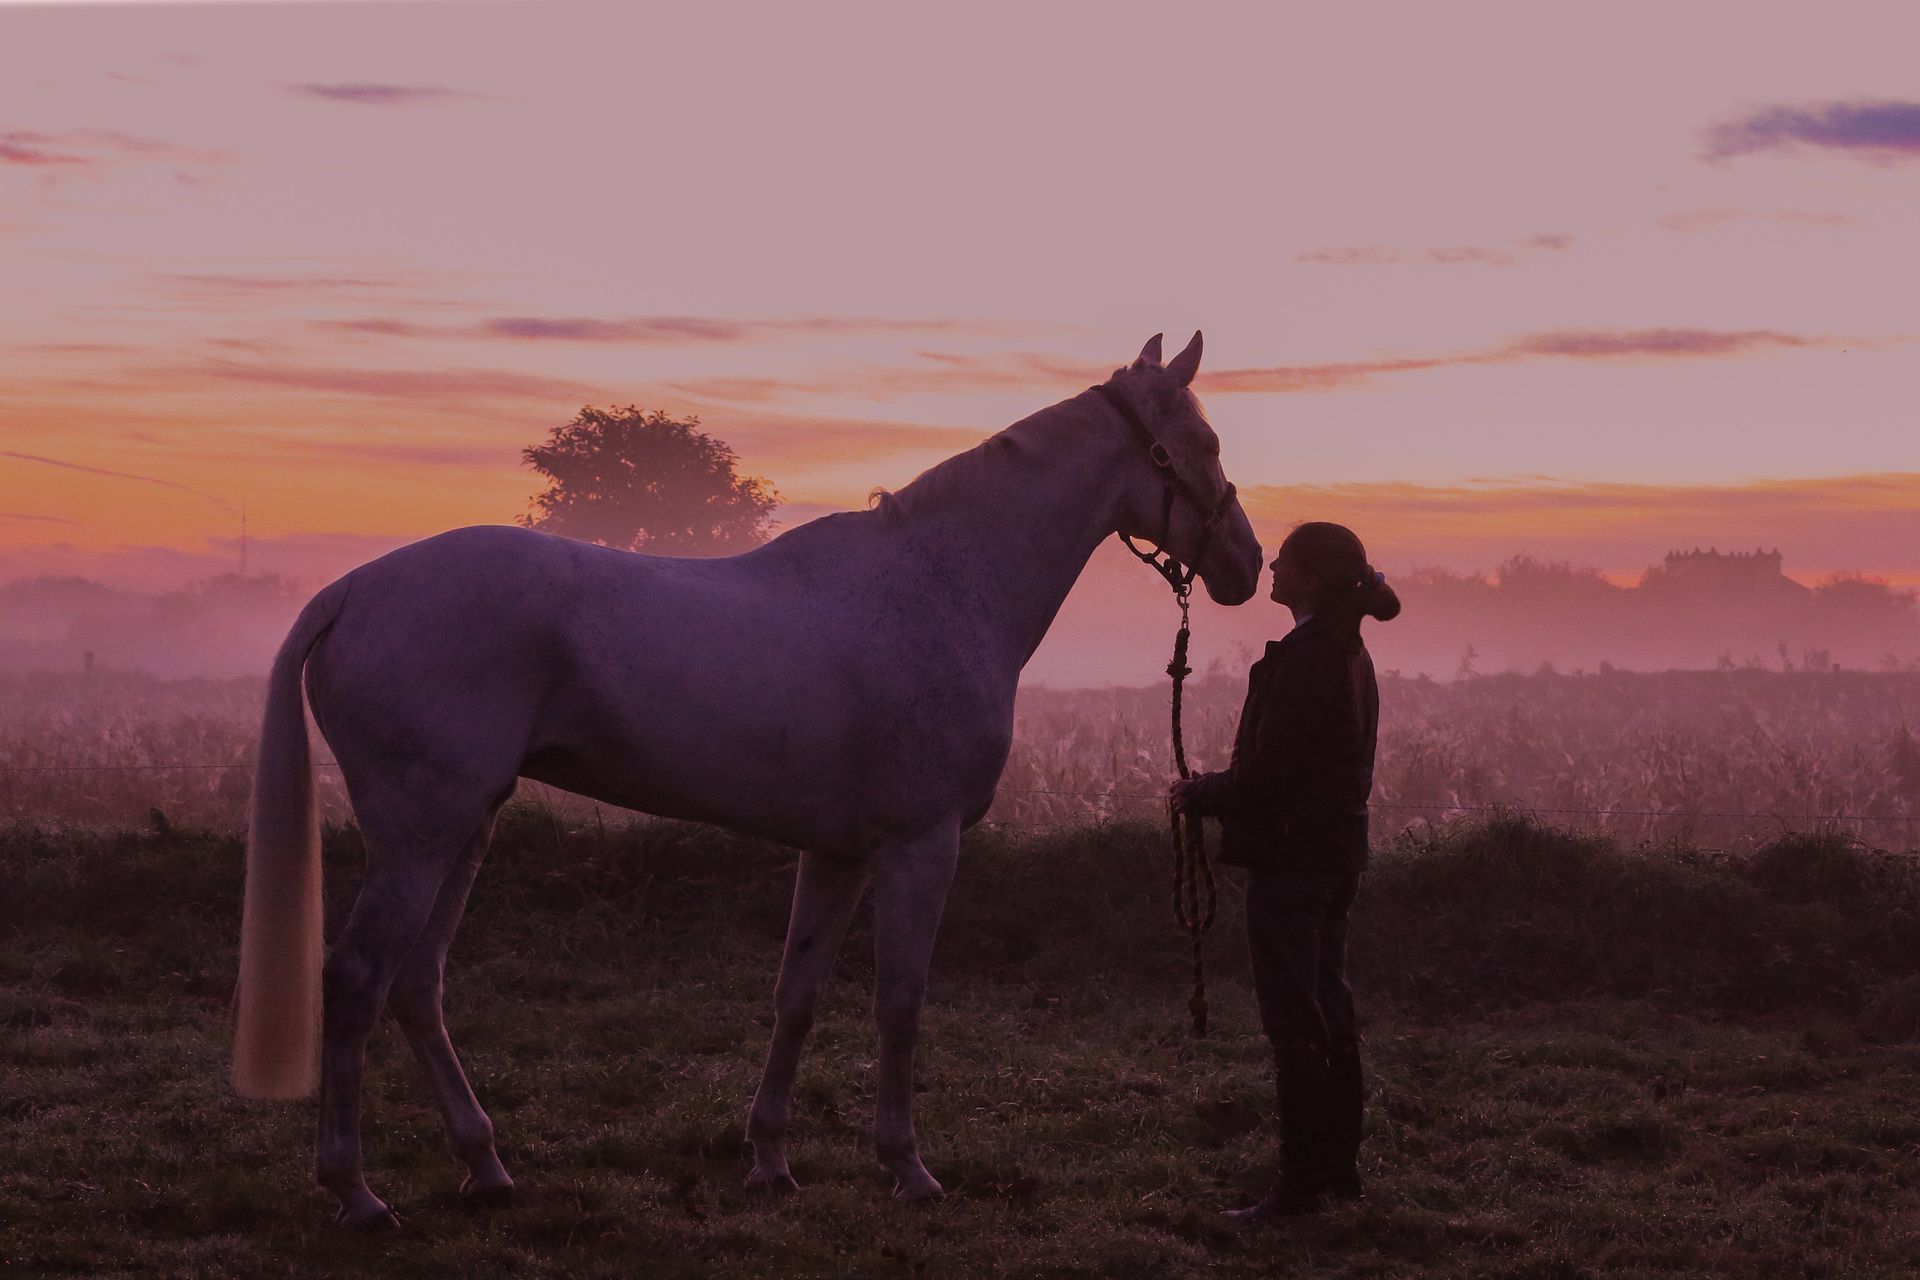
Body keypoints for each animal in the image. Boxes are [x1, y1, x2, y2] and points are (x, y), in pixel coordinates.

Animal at [233, 331, 1263, 1228]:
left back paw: (486, 1167)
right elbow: (899, 1003)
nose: (1247, 565)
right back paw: (356, 1192)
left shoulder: (838, 854)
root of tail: (352, 591)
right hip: (422, 837)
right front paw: (908, 1168)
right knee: (358, 980)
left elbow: (795, 997)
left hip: (466, 827)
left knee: (418, 983)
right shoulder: (919, 845)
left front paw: (769, 1160)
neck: (942, 585)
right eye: (1204, 444)